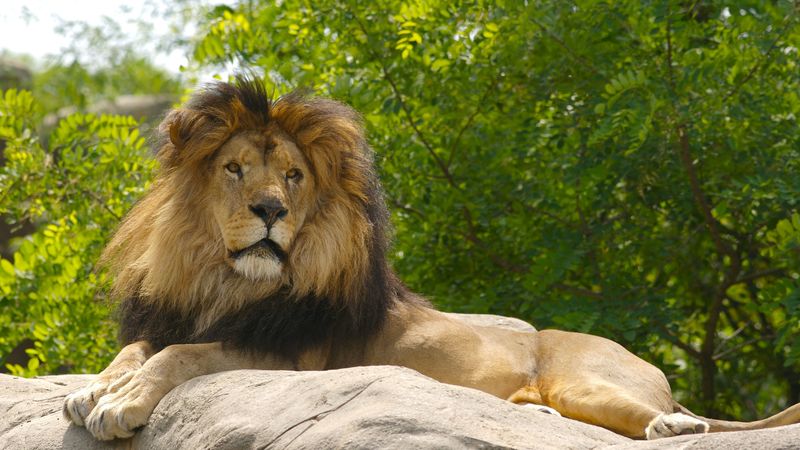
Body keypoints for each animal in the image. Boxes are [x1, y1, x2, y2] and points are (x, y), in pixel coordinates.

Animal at [63, 76, 800, 441]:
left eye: (295, 176)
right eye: (235, 169)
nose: (271, 209)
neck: (226, 282)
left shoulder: (291, 357)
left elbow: (180, 357)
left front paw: (120, 404)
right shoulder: (176, 315)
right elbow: (138, 350)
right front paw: (94, 389)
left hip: (588, 378)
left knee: (663, 422)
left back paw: (675, 422)